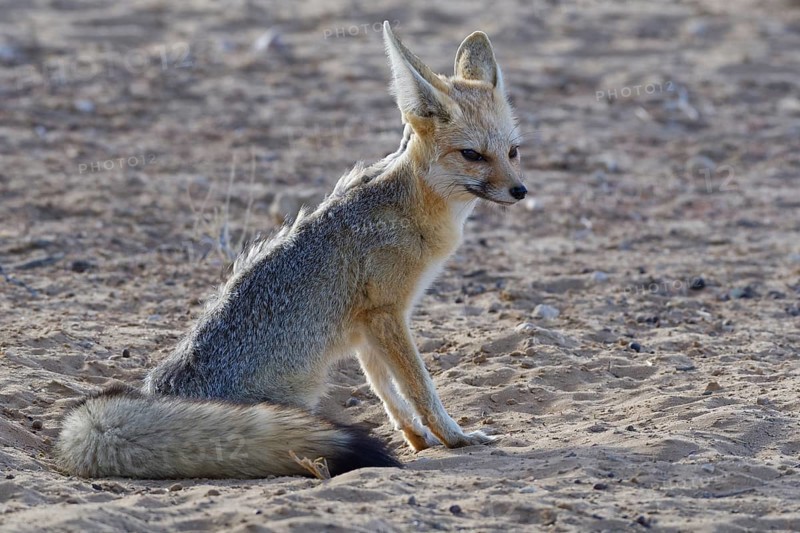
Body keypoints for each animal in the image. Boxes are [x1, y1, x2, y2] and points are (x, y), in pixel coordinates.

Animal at [56, 21, 527, 479]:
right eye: (472, 155)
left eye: (512, 152)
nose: (520, 191)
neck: (410, 205)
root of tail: (156, 392)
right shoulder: (387, 314)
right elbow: (419, 389)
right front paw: (455, 438)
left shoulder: (367, 325)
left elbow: (387, 392)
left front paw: (419, 441)